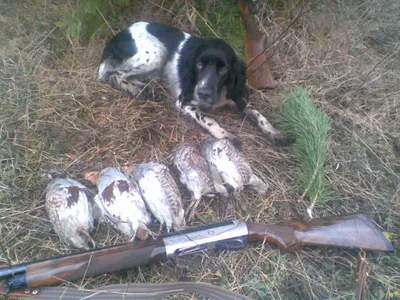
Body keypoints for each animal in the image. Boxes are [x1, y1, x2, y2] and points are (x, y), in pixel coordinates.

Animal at [98, 21, 290, 146]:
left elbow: (258, 114)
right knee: (114, 74)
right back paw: (136, 90)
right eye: (199, 64)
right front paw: (225, 135)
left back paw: (146, 89)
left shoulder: (237, 98)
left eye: (223, 69)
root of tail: (120, 34)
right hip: (156, 52)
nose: (203, 92)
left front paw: (275, 132)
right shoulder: (184, 102)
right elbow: (208, 118)